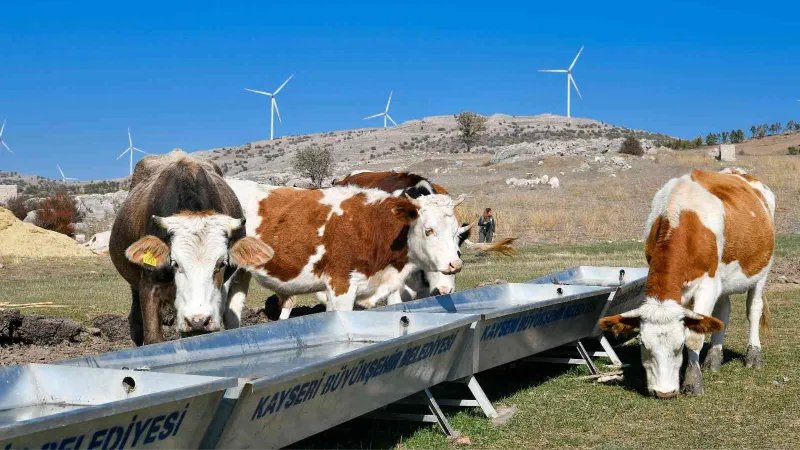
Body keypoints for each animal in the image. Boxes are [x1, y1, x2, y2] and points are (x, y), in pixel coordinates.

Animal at [109, 150, 274, 344]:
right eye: (175, 263)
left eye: (222, 263)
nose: (198, 320)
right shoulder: (150, 285)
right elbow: (153, 338)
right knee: (135, 319)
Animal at [600, 169, 776, 398]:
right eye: (645, 346)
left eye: (679, 346)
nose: (664, 393)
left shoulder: (708, 285)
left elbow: (695, 335)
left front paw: (693, 382)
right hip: (724, 281)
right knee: (723, 313)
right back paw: (713, 359)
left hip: (762, 270)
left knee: (754, 309)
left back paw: (754, 355)